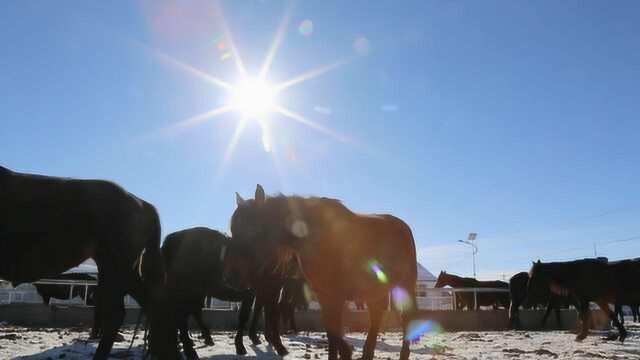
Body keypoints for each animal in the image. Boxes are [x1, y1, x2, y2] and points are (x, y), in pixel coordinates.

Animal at [232, 186, 418, 360]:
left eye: (252, 229)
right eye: (233, 230)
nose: (234, 277)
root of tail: (403, 226)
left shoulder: (336, 296)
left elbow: (334, 331)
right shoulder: (325, 295)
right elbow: (331, 331)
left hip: (406, 284)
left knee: (406, 318)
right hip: (376, 290)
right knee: (376, 316)